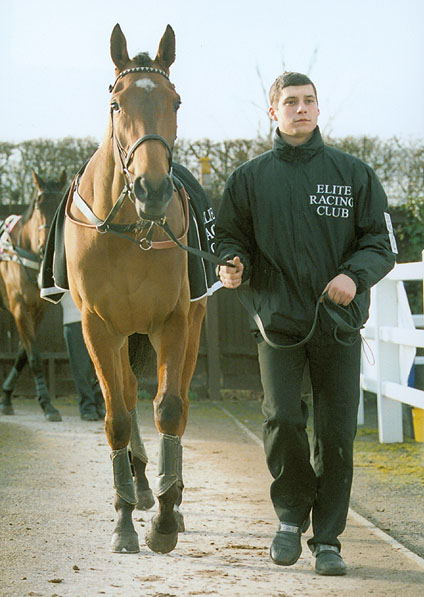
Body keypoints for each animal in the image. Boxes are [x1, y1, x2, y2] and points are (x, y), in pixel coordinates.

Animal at [0, 168, 66, 420]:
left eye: (59, 202)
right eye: (38, 204)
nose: (46, 246)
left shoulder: (37, 311)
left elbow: (22, 354)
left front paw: (6, 397)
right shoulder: (19, 309)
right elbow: (34, 358)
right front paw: (47, 404)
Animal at [63, 25, 207, 552]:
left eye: (176, 100)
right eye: (117, 102)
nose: (152, 188)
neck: (129, 230)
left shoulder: (173, 322)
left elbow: (168, 408)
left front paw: (164, 520)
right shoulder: (98, 328)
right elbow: (118, 417)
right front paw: (123, 519)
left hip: (190, 327)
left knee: (177, 399)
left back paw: (171, 495)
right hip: (121, 336)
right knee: (124, 394)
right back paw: (141, 485)